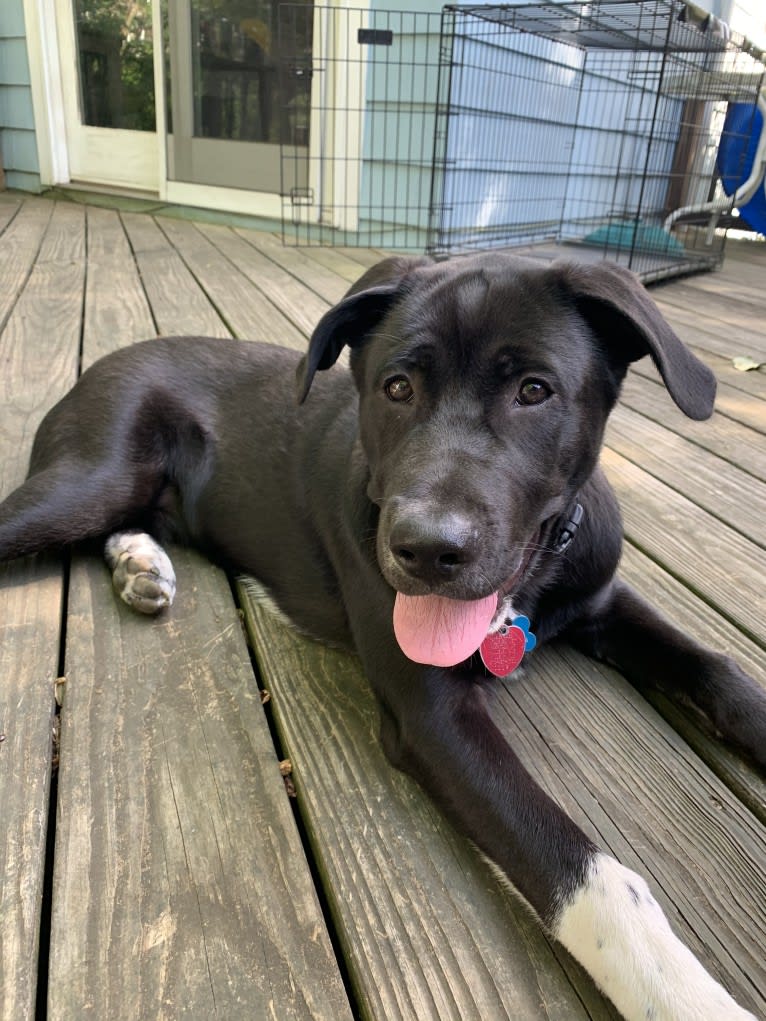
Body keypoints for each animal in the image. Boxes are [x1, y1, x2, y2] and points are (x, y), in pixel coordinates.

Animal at [0, 251, 763, 1016]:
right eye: (397, 387)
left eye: (534, 390)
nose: (426, 549)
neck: (526, 591)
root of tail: (106, 360)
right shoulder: (433, 718)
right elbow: (590, 878)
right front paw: (686, 994)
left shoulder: (600, 599)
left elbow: (720, 672)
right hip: (90, 479)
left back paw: (140, 565)